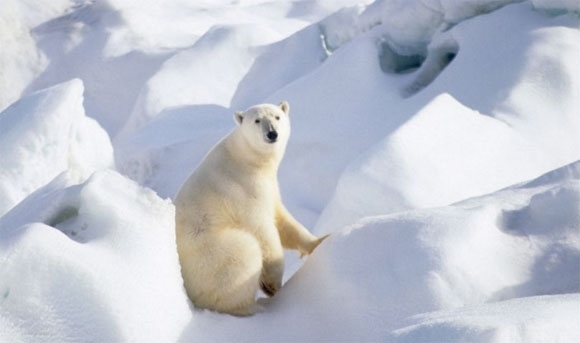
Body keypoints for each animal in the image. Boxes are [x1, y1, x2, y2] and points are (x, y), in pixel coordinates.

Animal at [174, 101, 326, 316]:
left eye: (277, 116)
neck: (245, 159)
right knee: (244, 251)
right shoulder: (243, 191)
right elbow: (263, 232)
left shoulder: (269, 187)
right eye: (257, 120)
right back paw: (254, 306)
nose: (272, 133)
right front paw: (272, 285)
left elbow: (283, 220)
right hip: (210, 257)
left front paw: (320, 241)